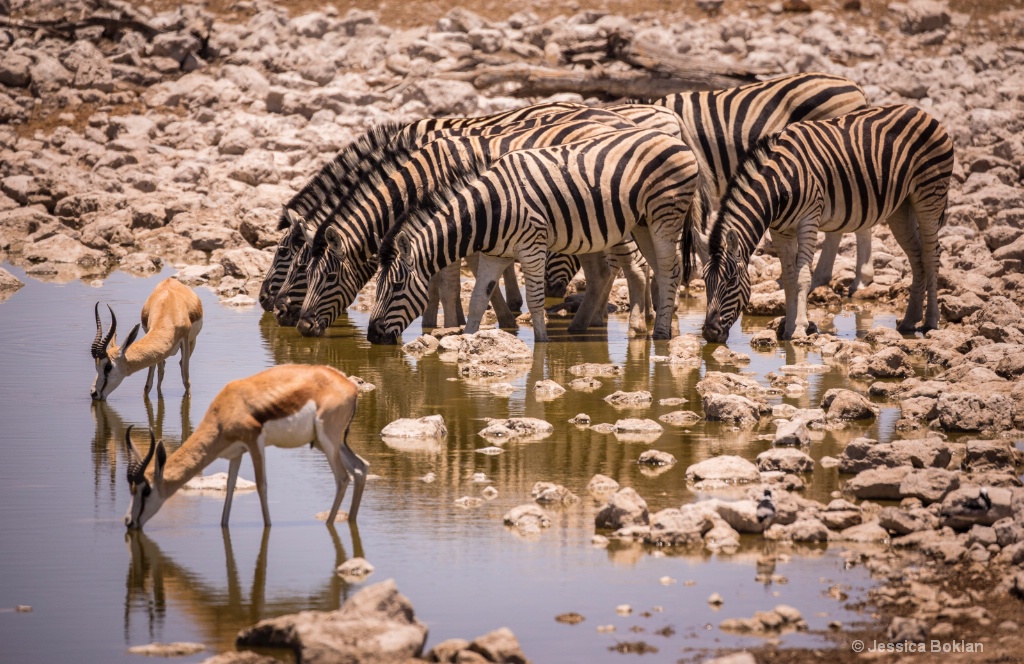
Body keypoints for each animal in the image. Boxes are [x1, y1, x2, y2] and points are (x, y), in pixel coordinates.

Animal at [292, 107, 684, 340]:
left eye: (325, 276)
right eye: (304, 271)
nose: (298, 323)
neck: (418, 177)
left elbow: (446, 280)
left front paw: (445, 324)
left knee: (637, 268)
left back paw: (638, 325)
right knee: (610, 271)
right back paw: (589, 323)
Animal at [692, 105, 954, 342]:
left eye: (731, 281)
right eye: (705, 281)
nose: (710, 332)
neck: (778, 185)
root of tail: (923, 113)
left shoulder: (809, 219)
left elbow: (802, 277)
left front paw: (799, 328)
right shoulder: (780, 230)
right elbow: (788, 278)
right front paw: (788, 327)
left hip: (929, 196)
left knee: (931, 255)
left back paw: (931, 322)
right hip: (901, 207)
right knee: (917, 257)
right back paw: (910, 321)